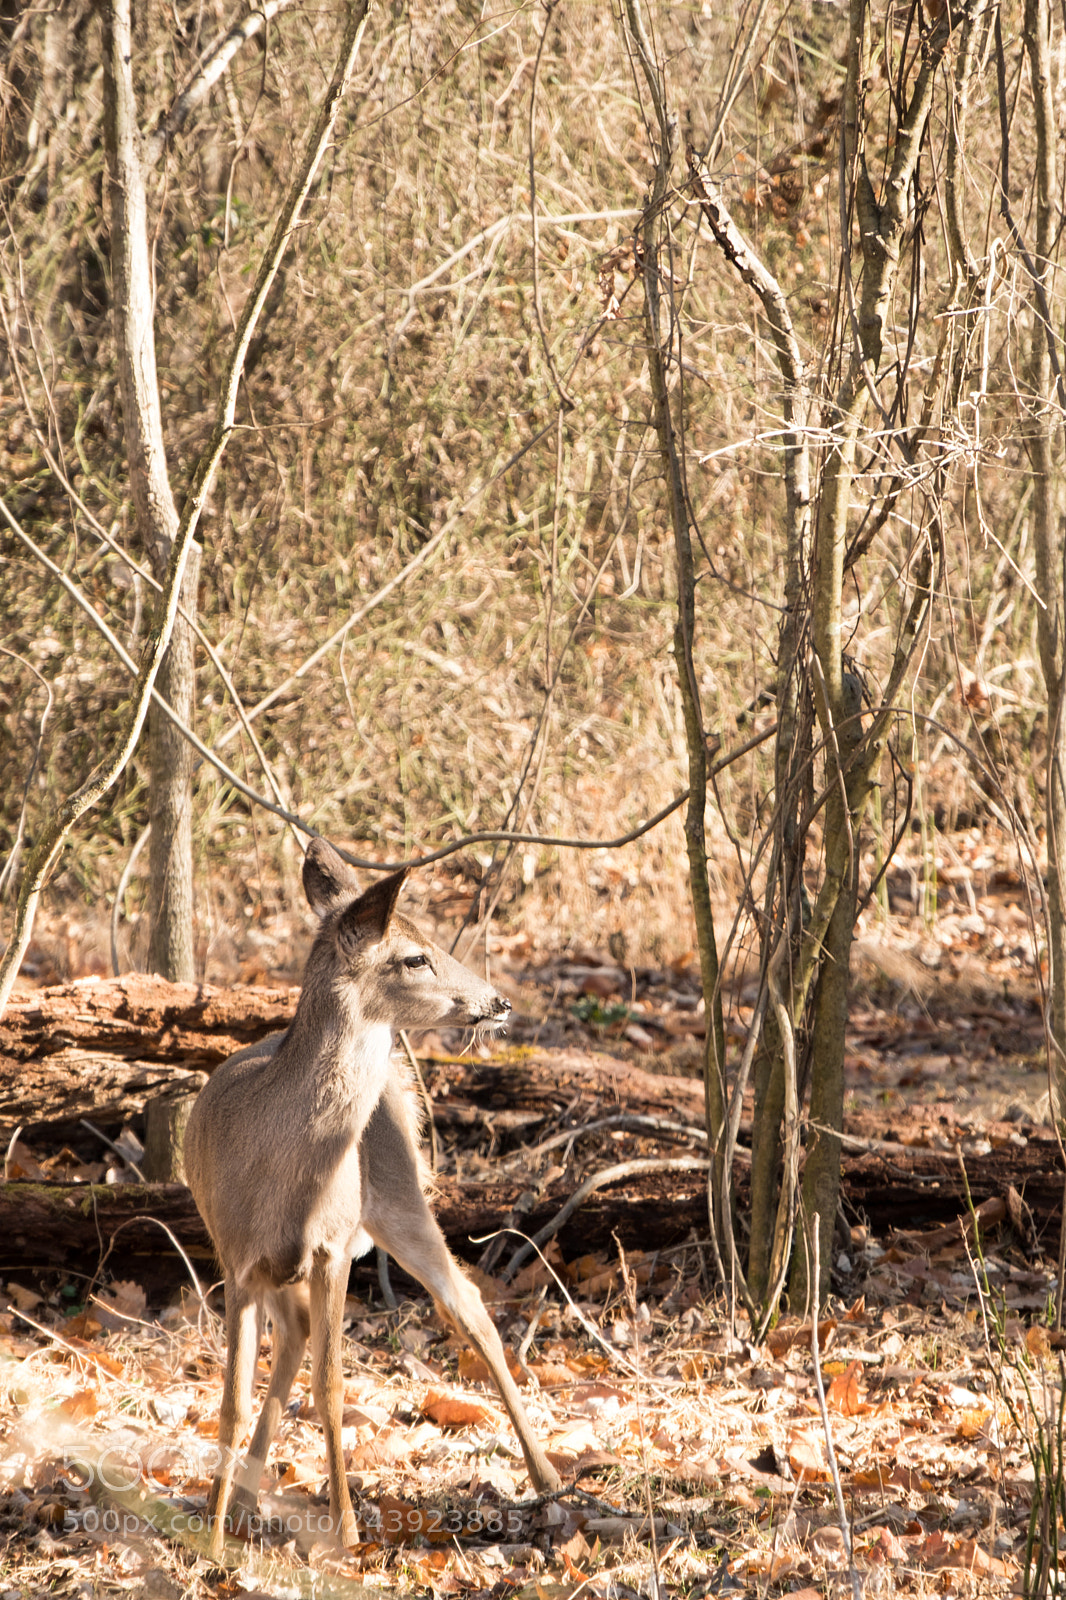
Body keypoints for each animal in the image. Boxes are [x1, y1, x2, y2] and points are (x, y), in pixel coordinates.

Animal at [183, 838, 561, 1556]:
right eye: (414, 955)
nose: (498, 1002)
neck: (280, 1170)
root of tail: (398, 1087)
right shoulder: (237, 1260)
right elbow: (233, 1400)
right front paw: (210, 1544)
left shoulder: (331, 1247)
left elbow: (331, 1386)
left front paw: (348, 1533)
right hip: (284, 1264)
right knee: (294, 1338)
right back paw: (242, 1503)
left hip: (401, 1198)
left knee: (470, 1307)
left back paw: (549, 1480)